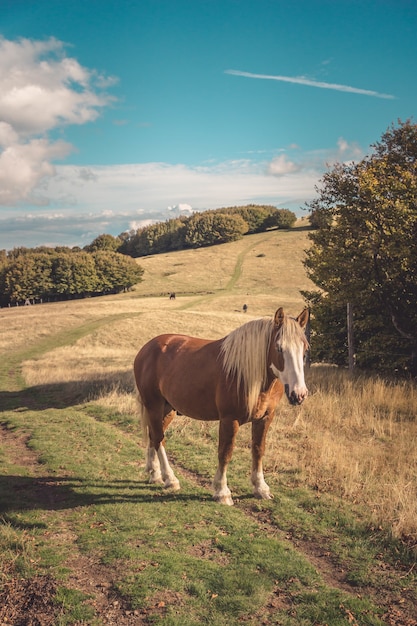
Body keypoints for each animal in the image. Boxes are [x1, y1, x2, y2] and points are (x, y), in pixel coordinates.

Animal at [133, 304, 308, 504]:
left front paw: (261, 488)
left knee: (154, 436)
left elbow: (258, 450)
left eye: (305, 349)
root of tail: (146, 348)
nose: (299, 394)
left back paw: (154, 474)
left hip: (167, 409)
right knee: (158, 438)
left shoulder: (264, 418)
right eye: (279, 348)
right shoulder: (229, 420)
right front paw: (222, 491)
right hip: (154, 406)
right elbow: (225, 452)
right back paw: (170, 479)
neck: (245, 373)